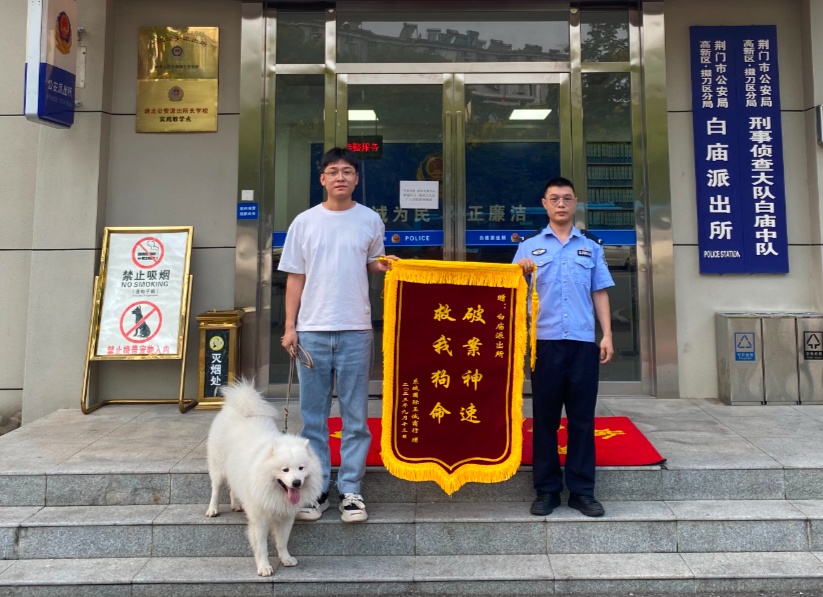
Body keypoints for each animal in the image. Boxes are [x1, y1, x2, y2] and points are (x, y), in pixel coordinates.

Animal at [205, 379, 322, 576]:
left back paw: (236, 504)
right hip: (218, 466)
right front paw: (264, 567)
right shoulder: (259, 518)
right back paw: (213, 509)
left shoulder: (285, 517)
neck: (274, 491)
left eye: (301, 468)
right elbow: (261, 546)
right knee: (216, 487)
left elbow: (282, 541)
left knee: (233, 488)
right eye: (285, 470)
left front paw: (286, 558)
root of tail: (239, 406)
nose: (296, 483)